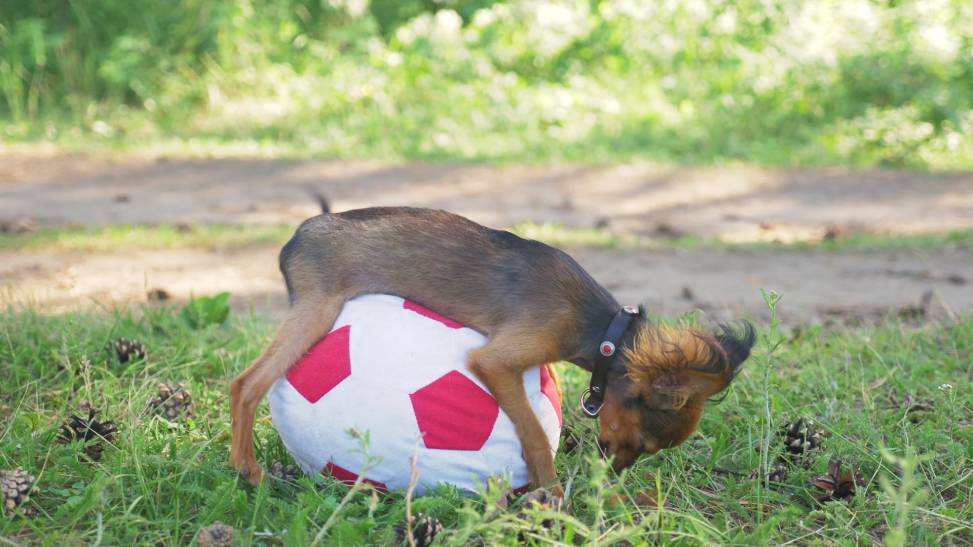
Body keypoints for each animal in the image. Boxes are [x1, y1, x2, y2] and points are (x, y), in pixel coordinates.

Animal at [232, 204, 756, 496]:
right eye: (644, 445)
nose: (613, 474)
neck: (604, 330)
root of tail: (297, 237)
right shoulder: (497, 360)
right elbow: (534, 432)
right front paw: (551, 493)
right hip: (318, 309)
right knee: (247, 384)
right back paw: (249, 471)